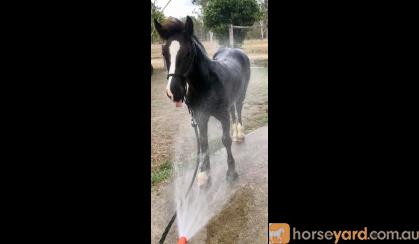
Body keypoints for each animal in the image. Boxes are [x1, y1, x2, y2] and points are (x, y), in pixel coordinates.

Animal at [156, 16, 251, 186]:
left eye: (188, 53)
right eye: (163, 52)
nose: (174, 91)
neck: (206, 85)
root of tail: (236, 50)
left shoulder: (222, 116)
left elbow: (225, 140)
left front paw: (231, 172)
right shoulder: (200, 117)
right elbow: (203, 142)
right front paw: (204, 173)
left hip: (241, 94)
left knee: (238, 111)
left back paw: (239, 134)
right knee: (233, 111)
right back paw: (236, 135)